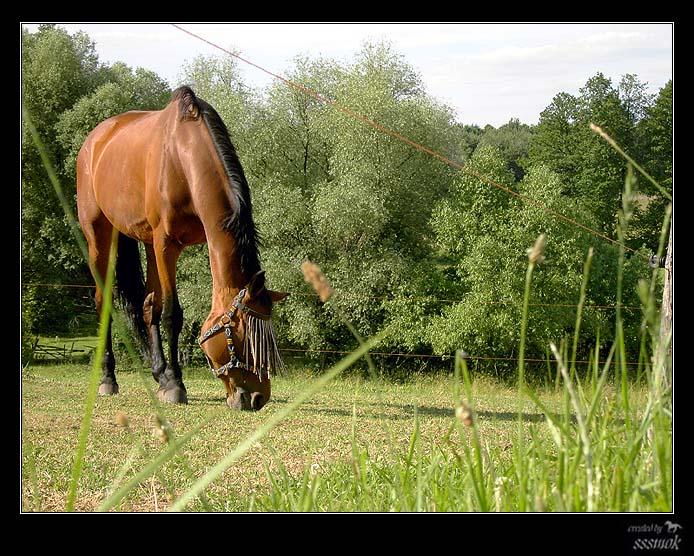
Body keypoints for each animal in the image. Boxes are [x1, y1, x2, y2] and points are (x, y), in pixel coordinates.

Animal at [78, 86, 288, 408]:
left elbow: (156, 308)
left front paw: (167, 379)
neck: (182, 156)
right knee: (105, 304)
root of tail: (95, 139)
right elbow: (172, 314)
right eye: (242, 337)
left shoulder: (173, 243)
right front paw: (176, 384)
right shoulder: (167, 244)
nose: (257, 398)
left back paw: (158, 374)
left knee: (147, 305)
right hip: (99, 237)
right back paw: (108, 379)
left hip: (147, 243)